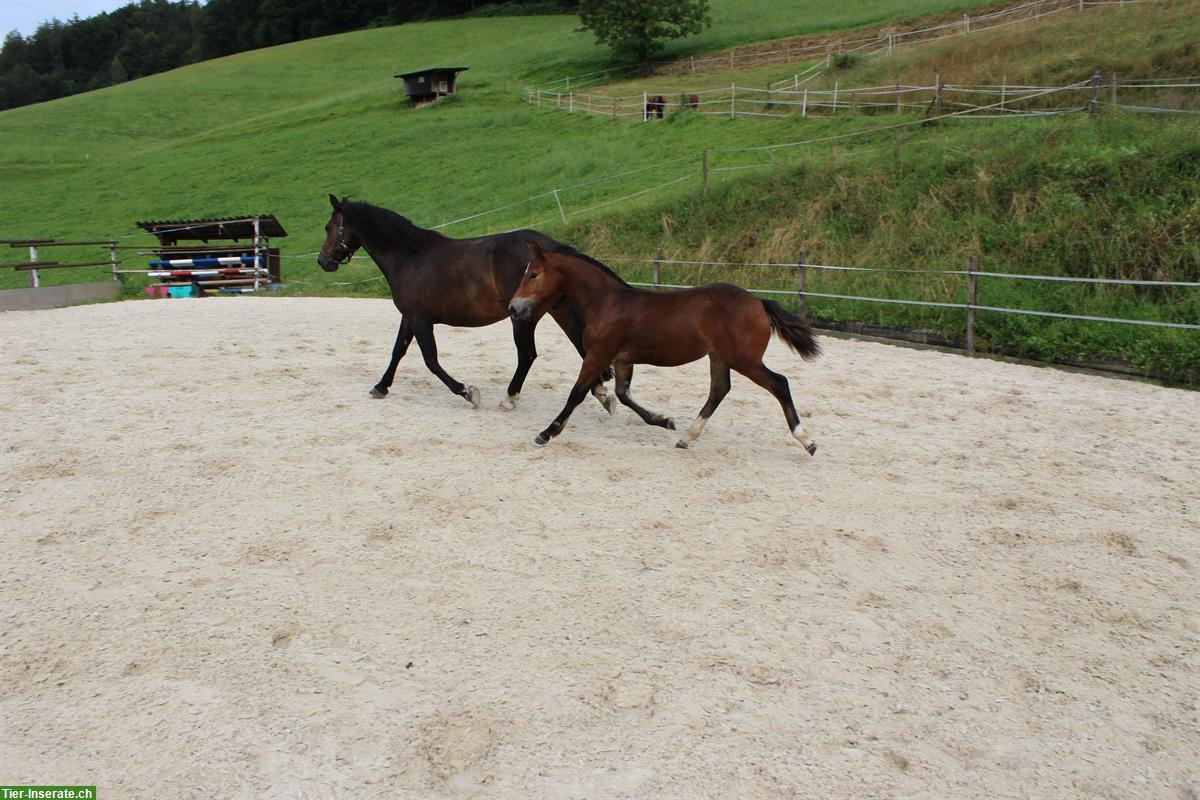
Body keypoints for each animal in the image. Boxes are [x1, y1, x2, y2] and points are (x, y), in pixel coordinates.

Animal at [319, 196, 614, 412]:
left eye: (328, 227)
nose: (323, 261)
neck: (409, 258)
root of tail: (549, 248)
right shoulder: (409, 317)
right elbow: (398, 351)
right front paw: (381, 387)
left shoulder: (420, 320)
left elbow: (431, 361)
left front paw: (468, 392)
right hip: (558, 309)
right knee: (579, 345)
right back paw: (601, 392)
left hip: (522, 316)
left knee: (528, 354)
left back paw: (509, 398)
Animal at [506, 244, 825, 453]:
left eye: (533, 274)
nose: (513, 307)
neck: (607, 302)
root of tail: (758, 301)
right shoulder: (622, 360)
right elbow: (623, 395)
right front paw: (665, 421)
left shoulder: (598, 356)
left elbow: (576, 394)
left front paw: (546, 433)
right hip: (719, 357)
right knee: (719, 390)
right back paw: (686, 437)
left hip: (744, 359)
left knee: (779, 383)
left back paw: (807, 440)